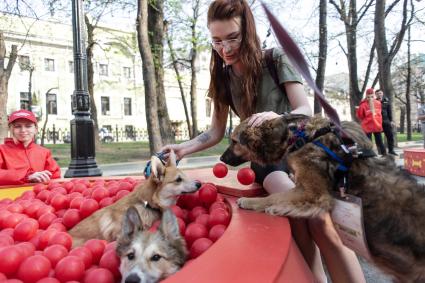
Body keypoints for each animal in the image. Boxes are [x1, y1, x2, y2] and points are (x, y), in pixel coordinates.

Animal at [220, 114, 424, 282]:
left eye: (234, 141)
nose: (221, 159)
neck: (297, 135)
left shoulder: (315, 193)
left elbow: (276, 196)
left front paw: (252, 202)